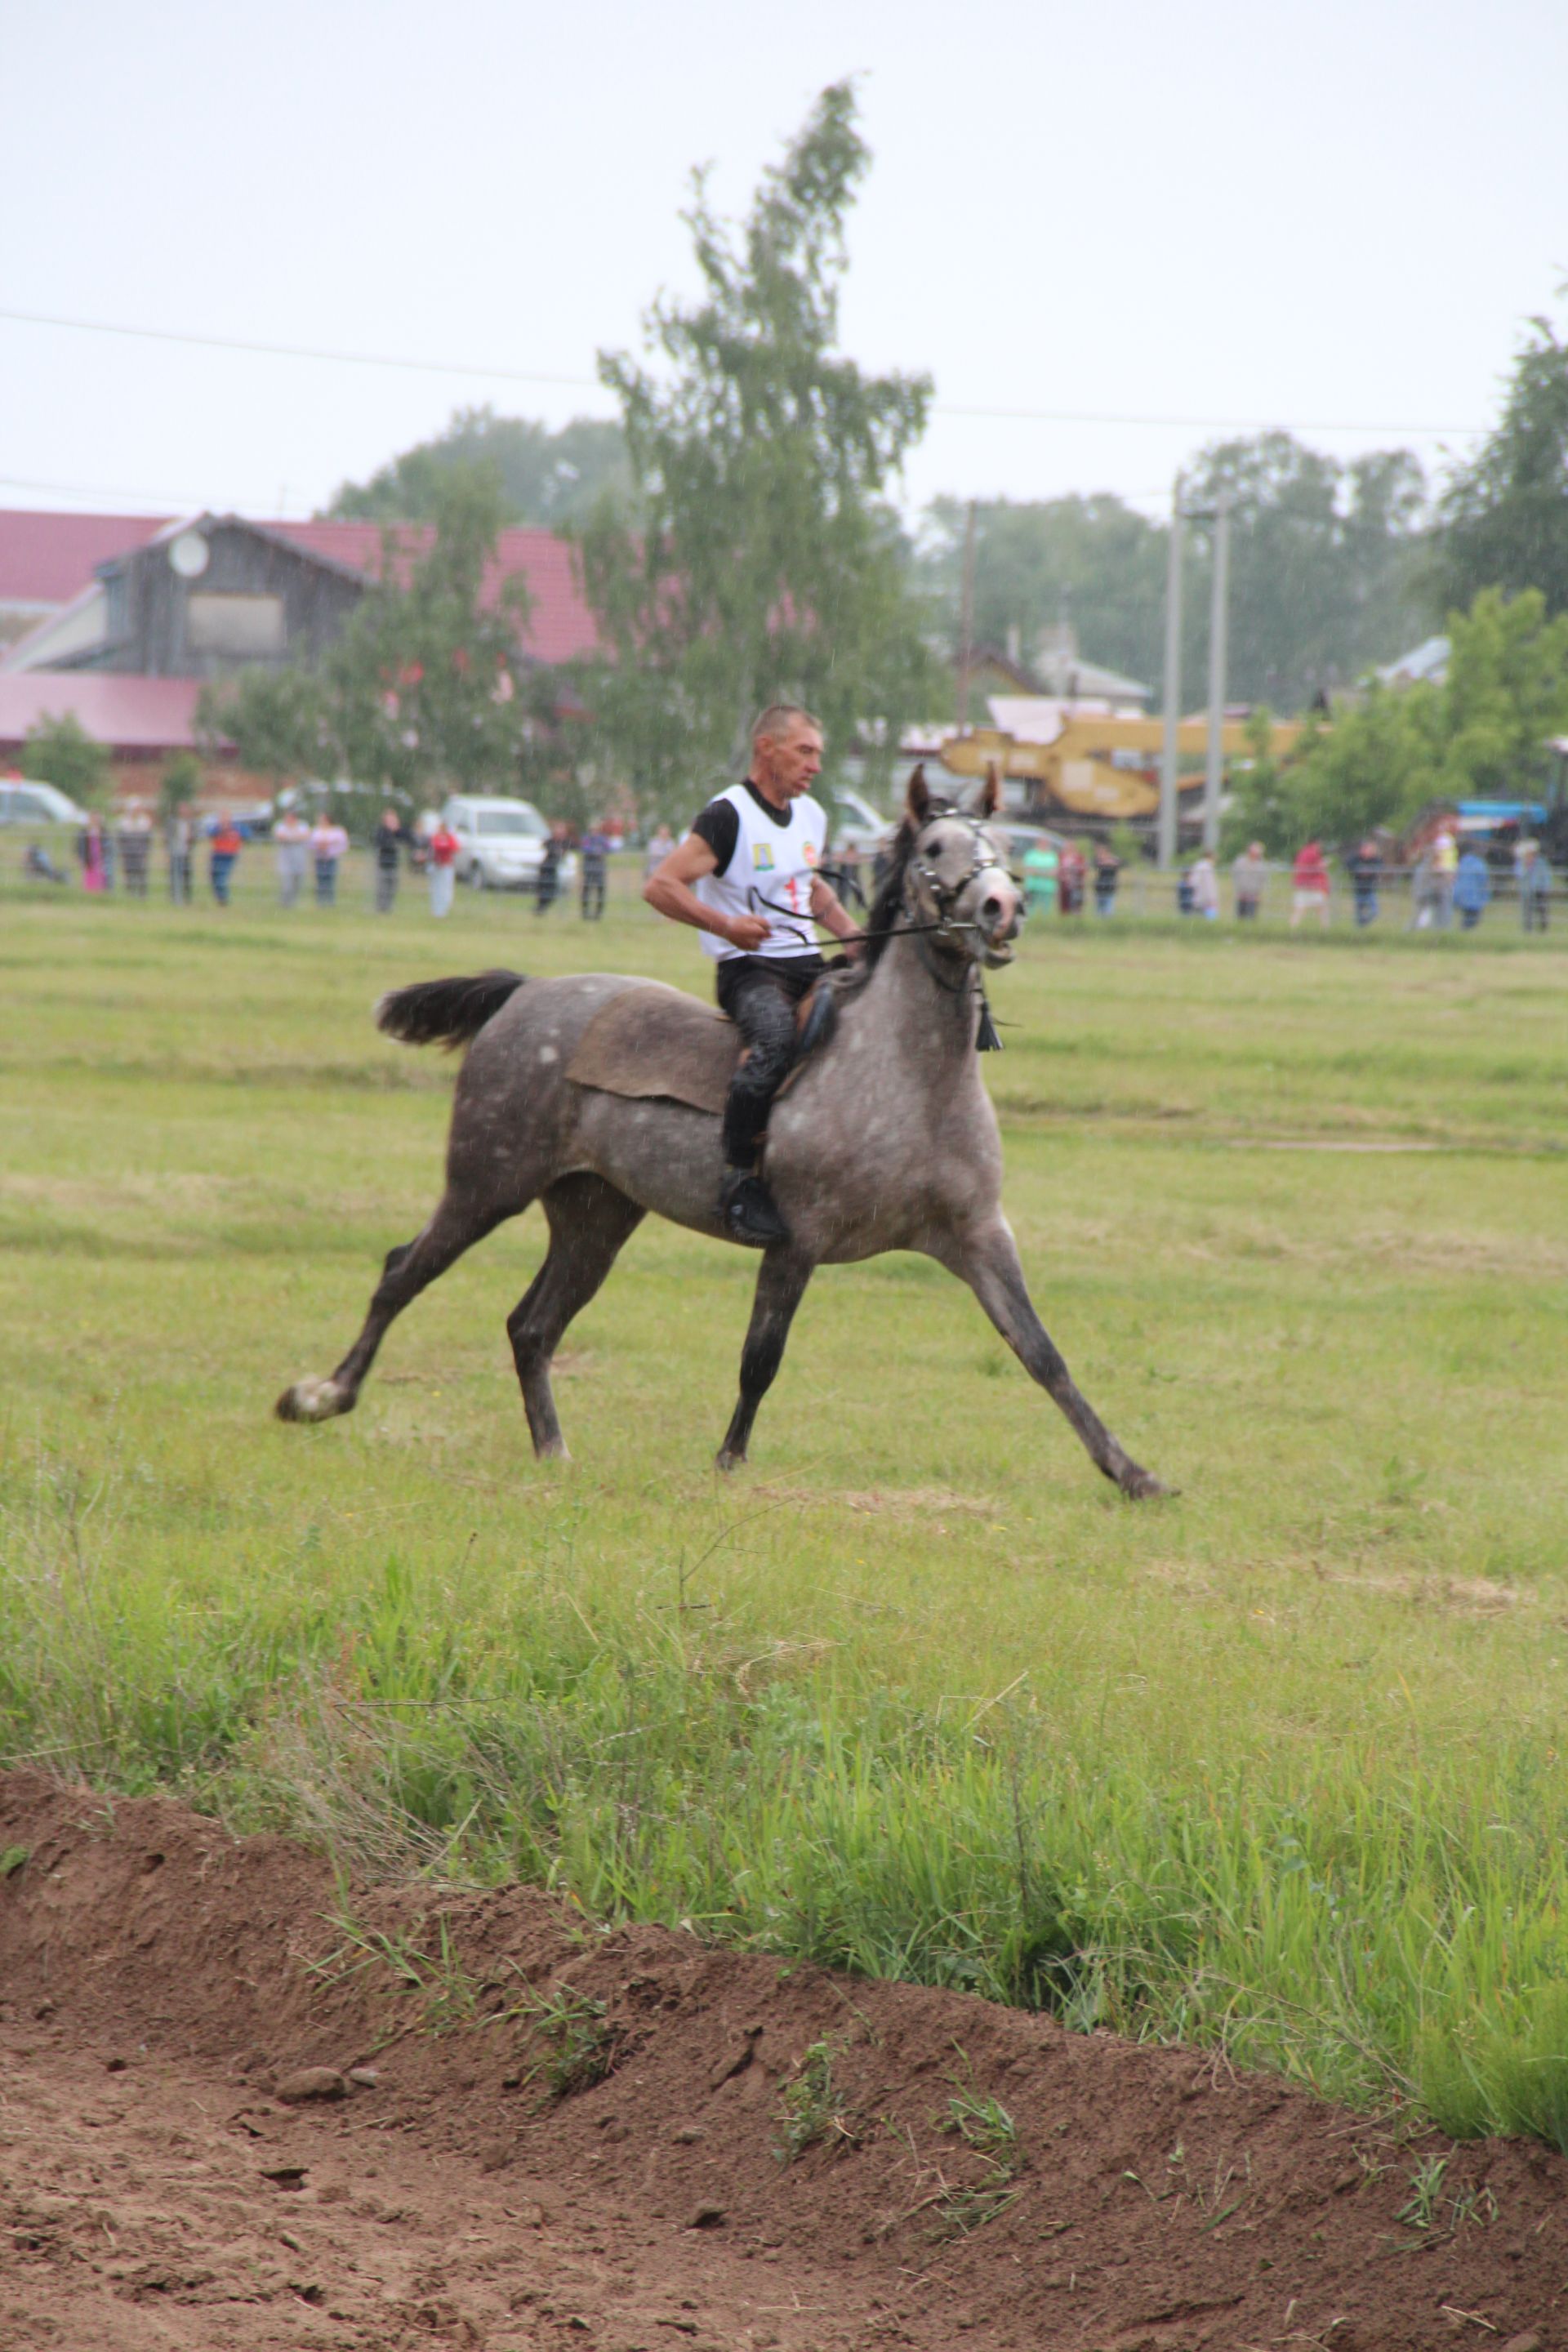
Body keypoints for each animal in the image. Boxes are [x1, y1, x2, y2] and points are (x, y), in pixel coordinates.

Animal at [276, 771, 1170, 1505]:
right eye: (935, 850)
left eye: (1003, 848)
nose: (1001, 908)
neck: (911, 1079)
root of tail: (524, 994)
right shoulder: (797, 1240)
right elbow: (761, 1357)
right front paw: (730, 1463)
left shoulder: (978, 1235)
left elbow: (1041, 1352)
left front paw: (1132, 1472)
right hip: (486, 1186)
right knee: (404, 1273)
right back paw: (320, 1396)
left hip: (595, 1216)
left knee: (531, 1327)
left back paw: (555, 1453)